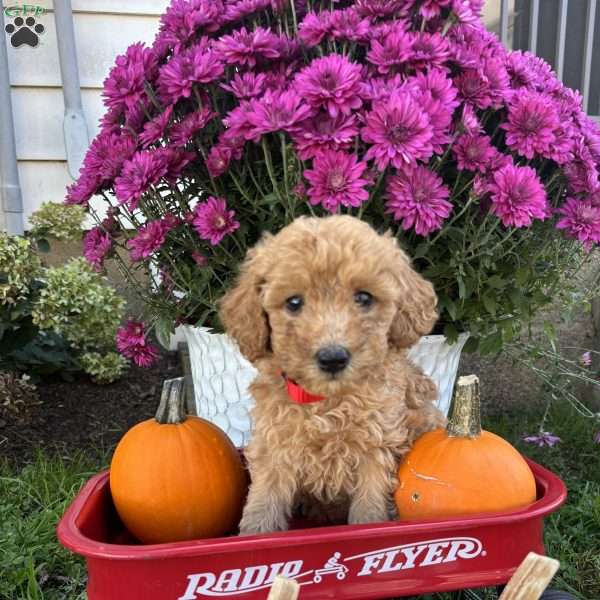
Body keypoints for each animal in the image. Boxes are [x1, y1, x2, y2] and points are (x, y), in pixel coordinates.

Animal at [220, 216, 446, 536]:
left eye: (364, 297)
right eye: (293, 303)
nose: (333, 358)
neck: (326, 400)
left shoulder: (378, 444)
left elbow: (369, 510)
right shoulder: (274, 446)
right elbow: (263, 503)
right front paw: (254, 535)